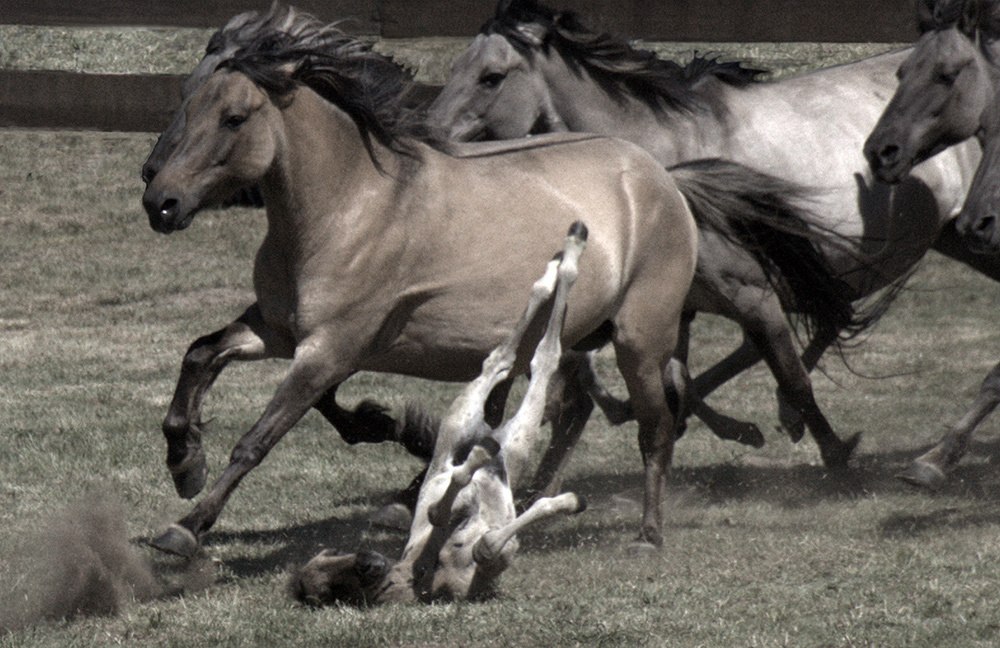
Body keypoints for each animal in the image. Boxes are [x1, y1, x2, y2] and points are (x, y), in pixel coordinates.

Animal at [139, 20, 707, 556]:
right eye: (188, 105)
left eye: (234, 119)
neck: (349, 207)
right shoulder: (277, 331)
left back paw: (647, 533)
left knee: (653, 427)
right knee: (537, 420)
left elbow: (257, 439)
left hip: (639, 340)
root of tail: (658, 176)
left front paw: (186, 527)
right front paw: (185, 463)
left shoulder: (327, 350)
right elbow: (200, 354)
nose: (159, 202)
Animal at [291, 223, 590, 604]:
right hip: (503, 437)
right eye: (331, 576)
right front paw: (570, 501)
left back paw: (563, 253)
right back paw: (568, 254)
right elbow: (483, 543)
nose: (369, 560)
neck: (417, 577)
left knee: (505, 361)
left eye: (331, 554)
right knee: (529, 359)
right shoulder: (477, 552)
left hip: (469, 433)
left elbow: (448, 509)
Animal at [427, 0, 990, 469]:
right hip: (957, 238)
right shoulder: (682, 302)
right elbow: (679, 379)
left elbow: (776, 374)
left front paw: (831, 451)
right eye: (453, 69)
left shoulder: (746, 290)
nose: (431, 138)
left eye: (491, 77)